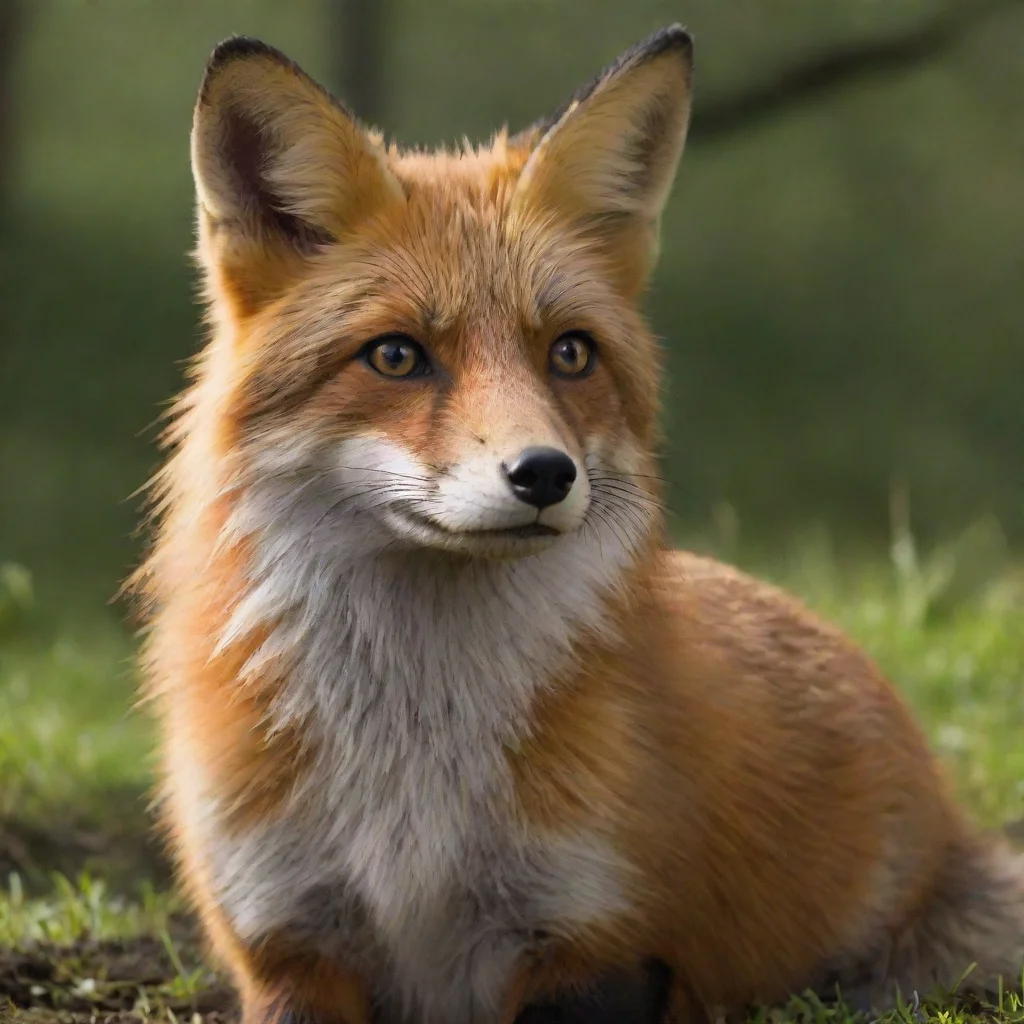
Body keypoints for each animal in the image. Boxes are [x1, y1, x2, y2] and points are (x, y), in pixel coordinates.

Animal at [130, 23, 1024, 1024]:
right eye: (396, 356)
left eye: (570, 354)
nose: (544, 474)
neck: (412, 776)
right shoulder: (288, 945)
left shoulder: (596, 941)